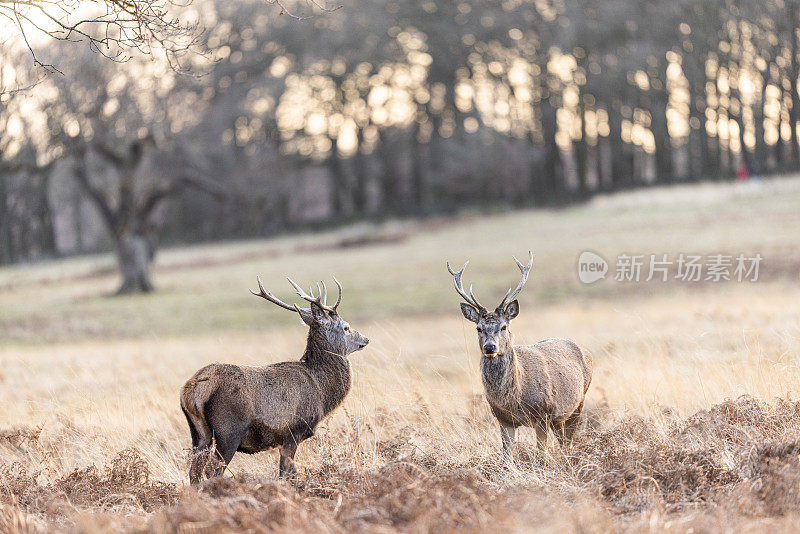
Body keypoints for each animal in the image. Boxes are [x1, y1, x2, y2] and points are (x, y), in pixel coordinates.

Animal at [180, 276, 368, 486]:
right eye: (346, 327)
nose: (366, 339)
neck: (320, 390)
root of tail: (193, 389)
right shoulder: (293, 430)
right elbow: (288, 473)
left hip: (198, 432)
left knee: (194, 470)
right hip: (228, 429)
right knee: (213, 468)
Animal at [446, 253, 592, 462]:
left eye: (504, 326)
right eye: (478, 328)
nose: (490, 347)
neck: (513, 398)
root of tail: (587, 353)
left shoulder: (542, 414)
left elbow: (541, 455)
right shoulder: (503, 418)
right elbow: (507, 457)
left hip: (578, 403)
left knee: (568, 442)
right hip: (559, 418)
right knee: (563, 441)